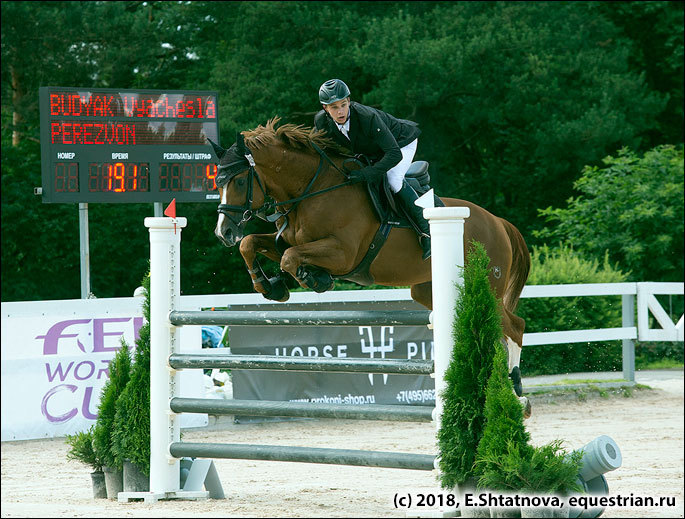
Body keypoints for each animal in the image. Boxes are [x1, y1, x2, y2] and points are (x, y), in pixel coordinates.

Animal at [211, 118, 532, 414]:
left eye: (240, 181)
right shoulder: (283, 241)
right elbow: (251, 243)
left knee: (514, 327)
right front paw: (271, 287)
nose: (223, 233)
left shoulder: (344, 254)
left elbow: (290, 257)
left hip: (488, 285)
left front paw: (314, 279)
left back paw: (517, 393)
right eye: (218, 182)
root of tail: (497, 222)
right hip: (428, 290)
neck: (313, 190)